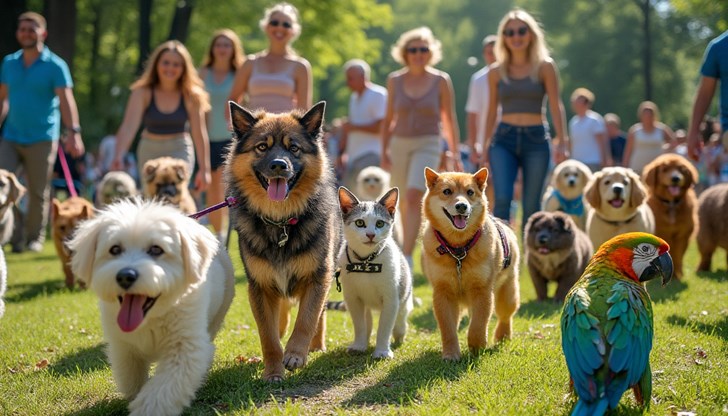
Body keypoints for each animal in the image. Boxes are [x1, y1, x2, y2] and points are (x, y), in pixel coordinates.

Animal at [67, 199, 233, 416]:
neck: (151, 318)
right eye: (115, 249)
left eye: (156, 249)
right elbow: (131, 377)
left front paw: (147, 407)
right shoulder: (124, 347)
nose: (125, 276)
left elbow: (165, 387)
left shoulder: (185, 347)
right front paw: (135, 395)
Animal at [225, 101, 342, 380]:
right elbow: (268, 335)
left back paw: (316, 345)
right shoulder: (259, 287)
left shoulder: (317, 278)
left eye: (294, 148)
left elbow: (307, 320)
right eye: (262, 147)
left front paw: (296, 354)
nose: (279, 165)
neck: (281, 222)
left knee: (319, 315)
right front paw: (273, 370)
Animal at [338, 187, 412, 360]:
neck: (366, 262)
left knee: (400, 320)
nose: (371, 234)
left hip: (404, 299)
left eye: (380, 223)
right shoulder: (353, 299)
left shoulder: (391, 300)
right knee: (368, 321)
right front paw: (359, 345)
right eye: (359, 223)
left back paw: (399, 333)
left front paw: (382, 351)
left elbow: (384, 327)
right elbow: (359, 324)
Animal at [418, 167, 520, 360]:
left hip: (507, 294)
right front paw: (451, 354)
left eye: (470, 192)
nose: (461, 206)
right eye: (447, 191)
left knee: (505, 316)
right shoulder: (443, 293)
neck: (458, 250)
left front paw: (477, 347)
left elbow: (478, 325)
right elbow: (448, 329)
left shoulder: (482, 291)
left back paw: (502, 336)